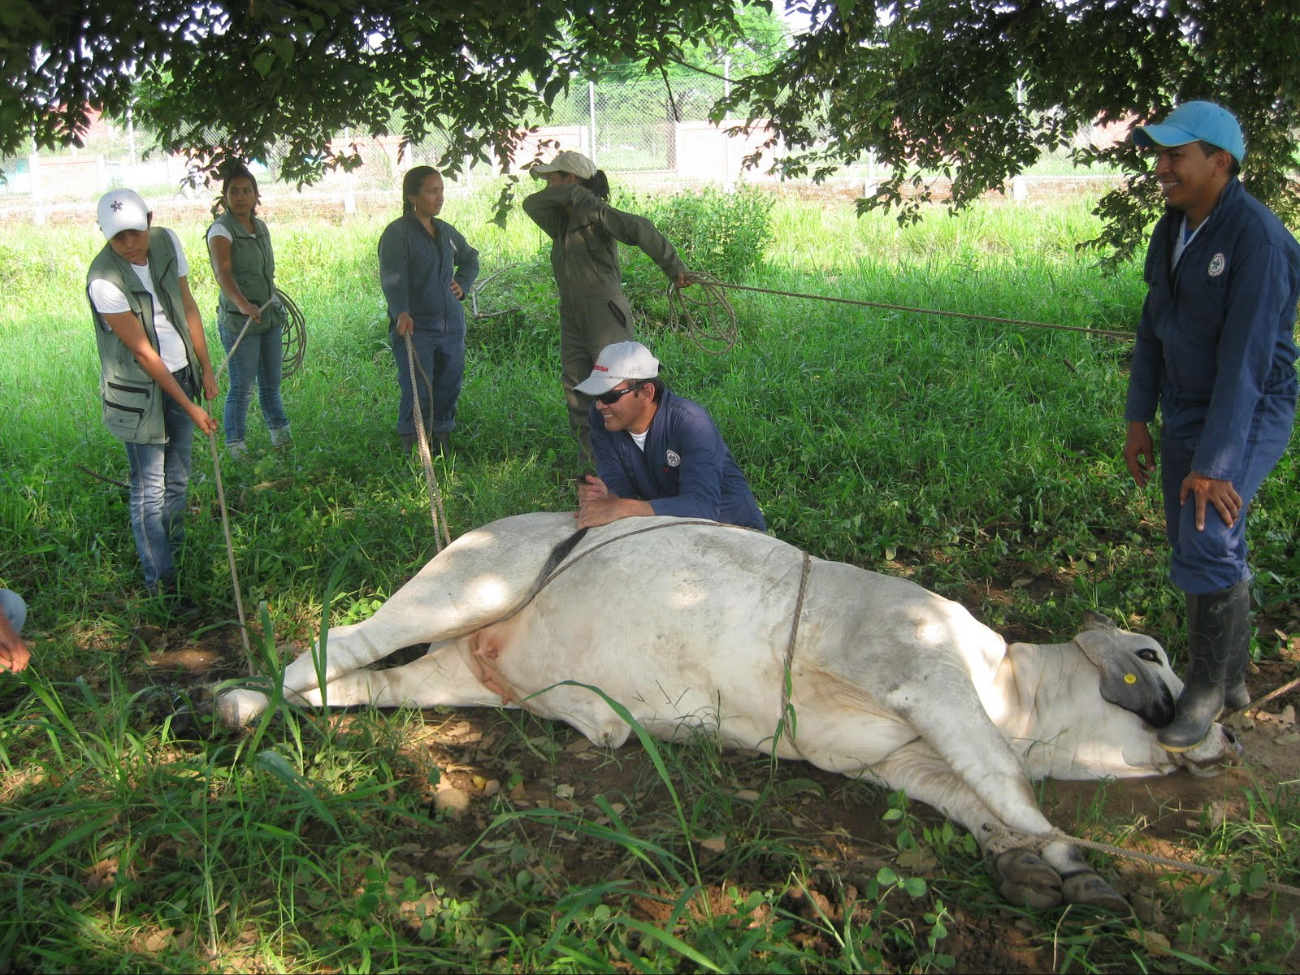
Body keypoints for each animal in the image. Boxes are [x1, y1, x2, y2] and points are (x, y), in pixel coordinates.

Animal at [218, 514, 1232, 915]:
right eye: (1153, 655)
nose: (1223, 730)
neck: (1011, 689)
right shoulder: (920, 671)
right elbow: (1008, 782)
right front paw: (1071, 858)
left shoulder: (897, 758)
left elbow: (976, 799)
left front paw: (1030, 864)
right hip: (464, 585)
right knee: (339, 637)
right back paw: (229, 699)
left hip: (454, 669)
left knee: (359, 685)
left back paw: (251, 707)